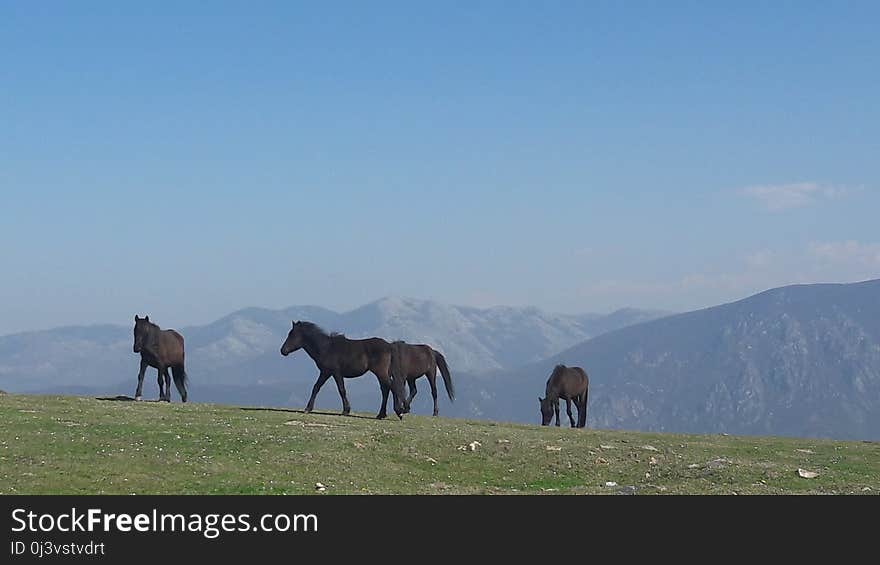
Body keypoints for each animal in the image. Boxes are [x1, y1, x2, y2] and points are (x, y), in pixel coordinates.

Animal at [280, 322, 408, 418]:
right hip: (382, 373)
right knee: (386, 389)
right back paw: (382, 414)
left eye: (293, 335)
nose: (283, 350)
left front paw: (346, 410)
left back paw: (399, 411)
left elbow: (341, 390)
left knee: (392, 387)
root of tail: (389, 345)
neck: (326, 348)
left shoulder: (336, 372)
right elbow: (316, 387)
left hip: (381, 373)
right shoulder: (325, 373)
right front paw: (308, 408)